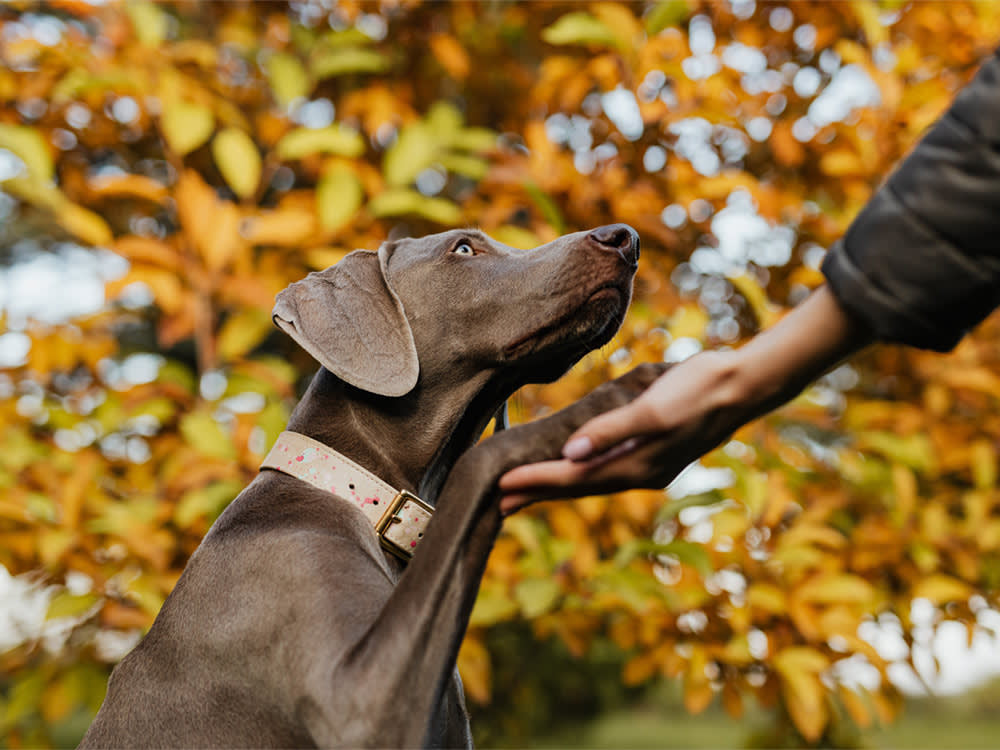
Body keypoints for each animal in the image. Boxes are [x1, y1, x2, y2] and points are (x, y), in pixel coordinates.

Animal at [82, 226, 668, 748]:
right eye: (463, 248)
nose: (627, 238)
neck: (354, 491)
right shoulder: (361, 704)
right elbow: (480, 467)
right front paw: (620, 396)